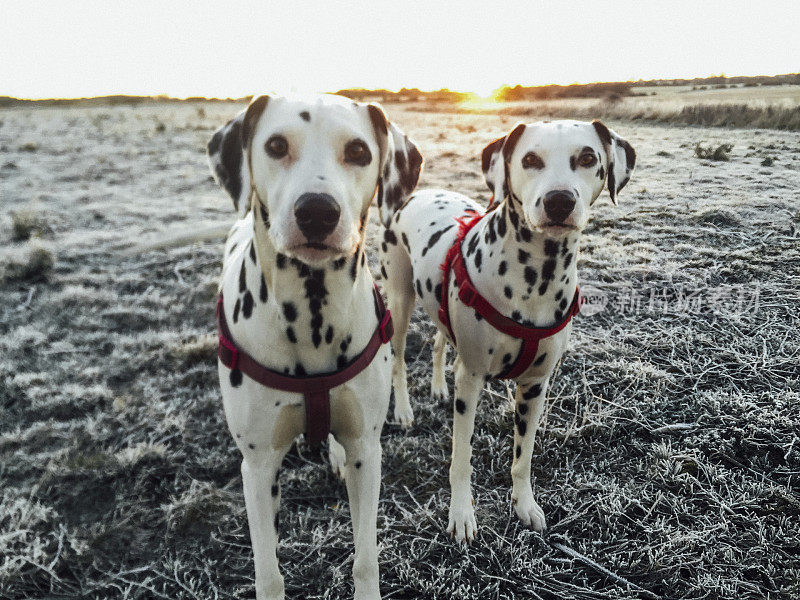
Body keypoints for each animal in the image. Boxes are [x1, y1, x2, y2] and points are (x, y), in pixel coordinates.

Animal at [208, 92, 424, 596]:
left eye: (359, 151)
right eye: (275, 145)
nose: (317, 211)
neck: (311, 316)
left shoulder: (368, 450)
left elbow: (365, 558)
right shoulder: (257, 464)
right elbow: (268, 574)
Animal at [378, 119, 636, 540]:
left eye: (587, 157)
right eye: (529, 159)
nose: (559, 201)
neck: (537, 279)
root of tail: (418, 193)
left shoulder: (534, 387)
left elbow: (523, 456)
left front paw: (524, 505)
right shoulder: (471, 381)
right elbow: (462, 457)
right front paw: (461, 514)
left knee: (438, 341)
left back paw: (437, 385)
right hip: (400, 300)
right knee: (399, 358)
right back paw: (402, 409)